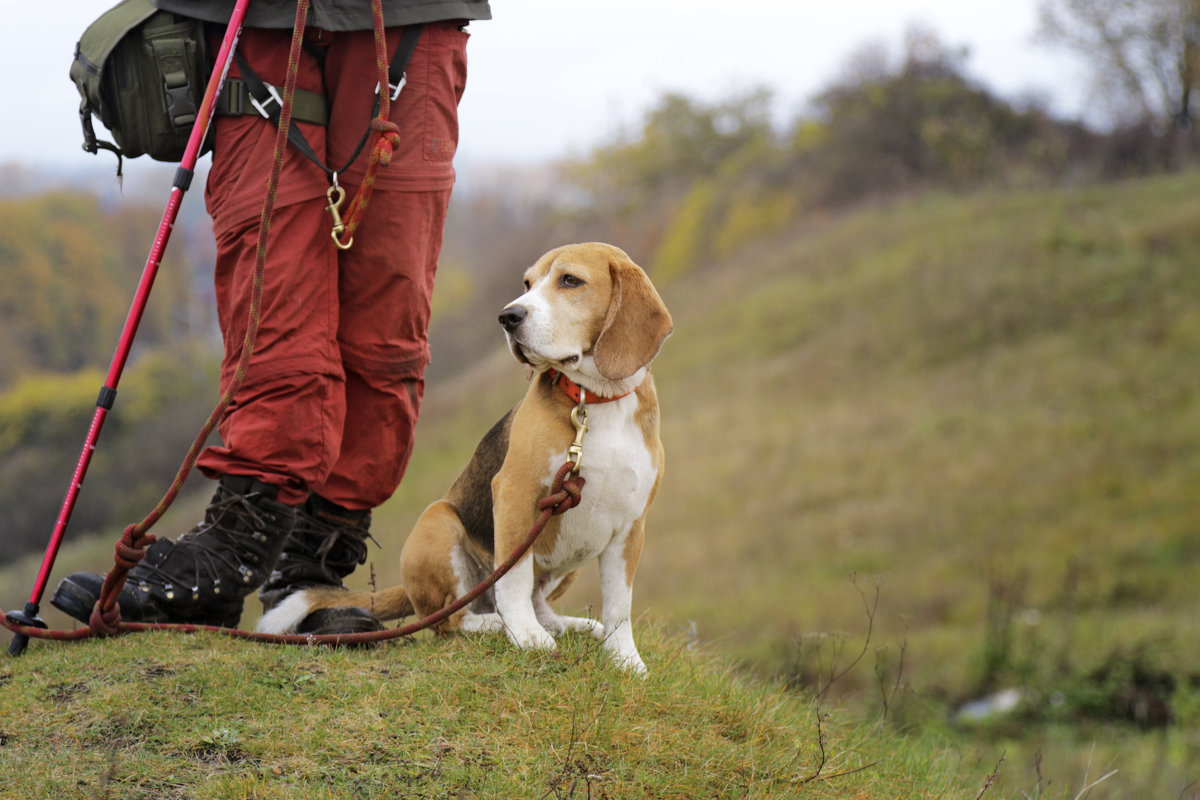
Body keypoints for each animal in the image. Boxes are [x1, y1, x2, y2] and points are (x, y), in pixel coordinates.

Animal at [260, 241, 676, 671]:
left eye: (570, 280)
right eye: (527, 284)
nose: (508, 317)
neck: (596, 401)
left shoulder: (631, 526)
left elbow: (619, 604)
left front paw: (625, 659)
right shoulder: (515, 495)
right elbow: (514, 580)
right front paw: (525, 636)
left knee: (532, 602)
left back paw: (566, 625)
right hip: (438, 523)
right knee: (452, 620)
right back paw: (498, 624)